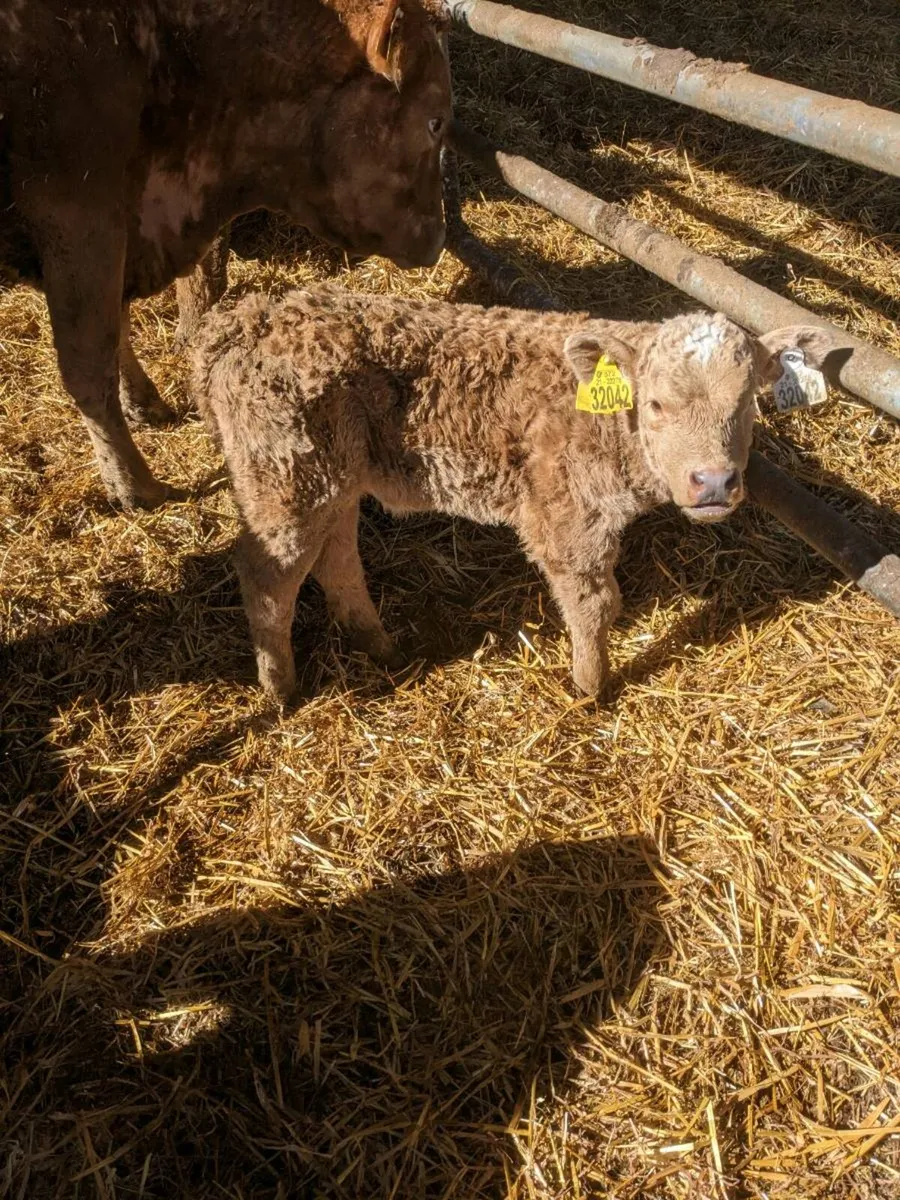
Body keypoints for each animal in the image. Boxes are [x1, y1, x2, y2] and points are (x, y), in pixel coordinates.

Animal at [0, 0, 451, 509]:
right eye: (435, 120)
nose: (439, 238)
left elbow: (117, 330)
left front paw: (144, 403)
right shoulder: (80, 225)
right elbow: (88, 367)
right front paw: (135, 486)